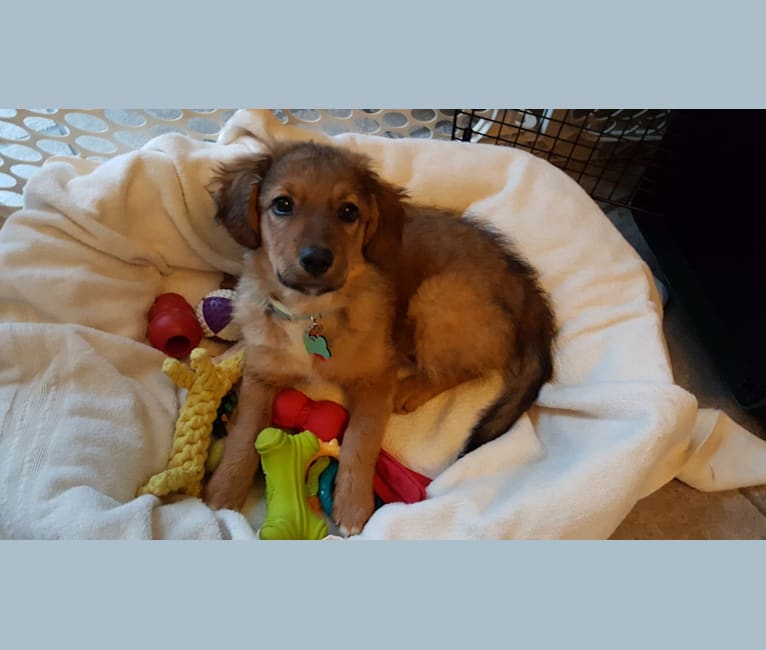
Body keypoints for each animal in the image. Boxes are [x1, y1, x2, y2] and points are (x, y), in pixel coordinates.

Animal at [204, 140, 560, 532]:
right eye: (282, 204)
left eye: (348, 211)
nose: (317, 260)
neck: (311, 314)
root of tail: (521, 281)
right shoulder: (261, 374)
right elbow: (244, 432)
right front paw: (224, 488)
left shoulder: (376, 378)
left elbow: (361, 440)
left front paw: (352, 505)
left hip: (438, 295)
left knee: (471, 367)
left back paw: (411, 389)